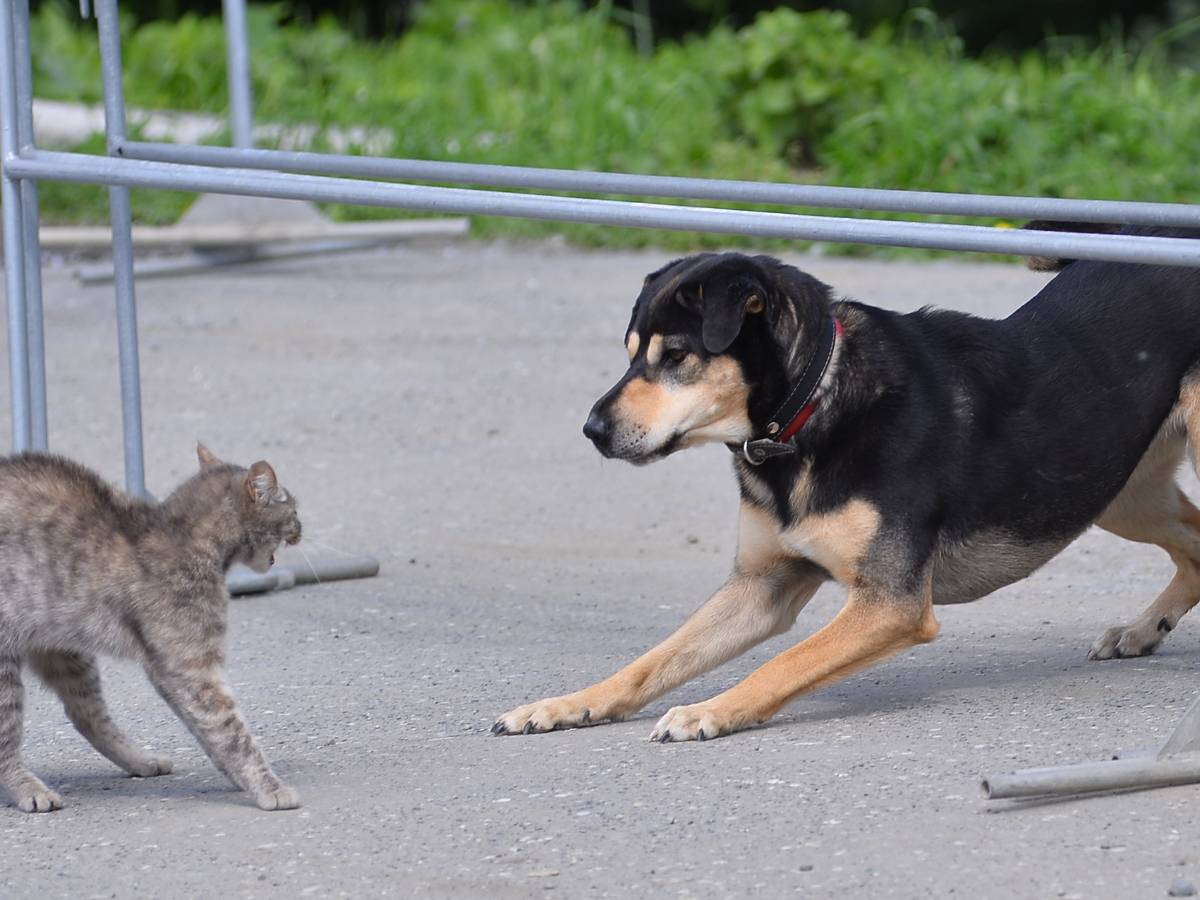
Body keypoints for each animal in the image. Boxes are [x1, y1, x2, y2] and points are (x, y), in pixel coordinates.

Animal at [0, 448, 300, 816]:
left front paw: (237, 779)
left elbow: (208, 733)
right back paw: (29, 788)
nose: (301, 528)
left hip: (66, 650)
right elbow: (232, 732)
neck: (183, 536)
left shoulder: (173, 669)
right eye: (293, 509)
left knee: (86, 715)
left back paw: (139, 761)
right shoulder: (194, 670)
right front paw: (268, 786)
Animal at [489, 226, 1200, 748]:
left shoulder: (890, 604)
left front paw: (708, 711)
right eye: (632, 352)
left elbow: (784, 663)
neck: (809, 407)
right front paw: (568, 705)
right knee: (1193, 546)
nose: (592, 430)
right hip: (1112, 490)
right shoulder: (763, 585)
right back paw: (1143, 630)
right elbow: (653, 660)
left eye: (678, 357)